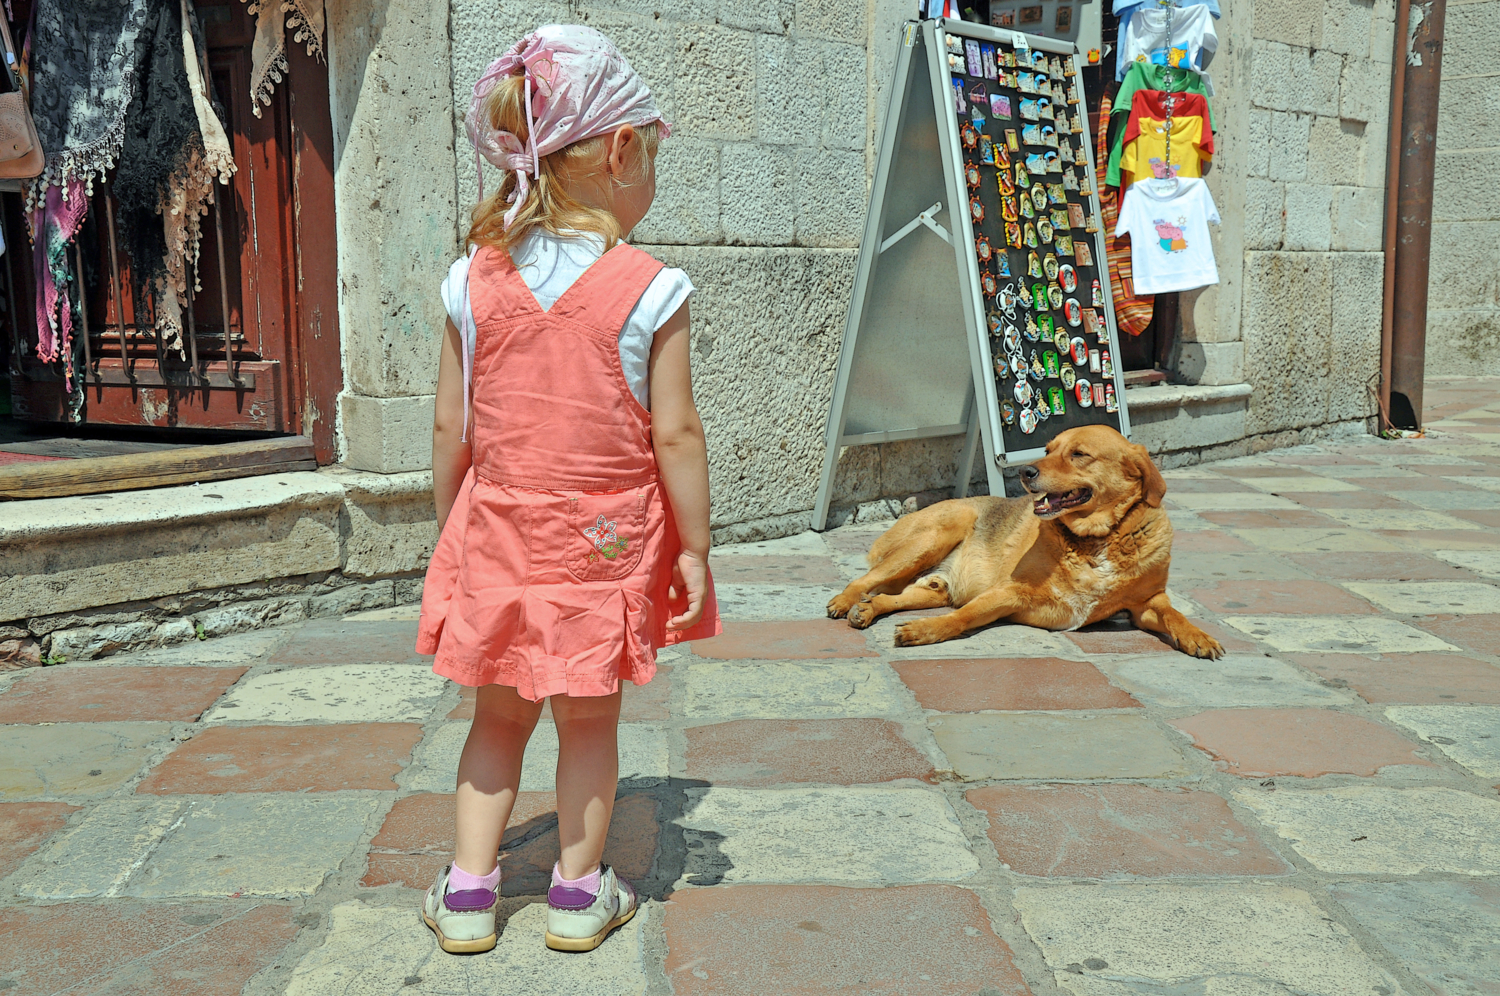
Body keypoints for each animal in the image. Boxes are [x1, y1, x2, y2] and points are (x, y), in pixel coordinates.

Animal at [828, 423, 1224, 660]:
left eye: (1079, 454)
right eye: (1047, 449)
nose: (1024, 471)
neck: (1099, 539)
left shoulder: (1146, 604)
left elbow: (1174, 614)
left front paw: (1198, 636)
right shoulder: (1010, 591)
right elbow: (963, 617)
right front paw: (928, 630)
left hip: (934, 588)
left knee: (892, 596)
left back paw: (868, 609)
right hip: (937, 534)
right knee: (863, 580)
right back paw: (846, 601)